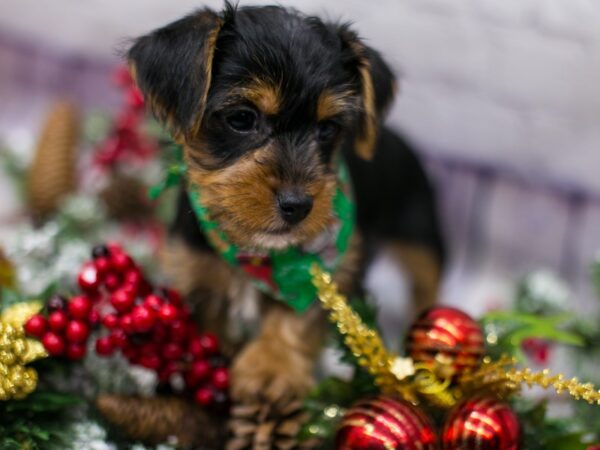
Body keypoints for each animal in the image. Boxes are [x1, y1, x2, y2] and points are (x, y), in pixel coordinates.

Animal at [127, 1, 446, 406]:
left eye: (327, 129)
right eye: (242, 118)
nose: (298, 205)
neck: (257, 256)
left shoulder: (327, 271)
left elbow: (300, 314)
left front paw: (271, 368)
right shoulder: (193, 269)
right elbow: (208, 325)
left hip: (421, 233)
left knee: (427, 282)